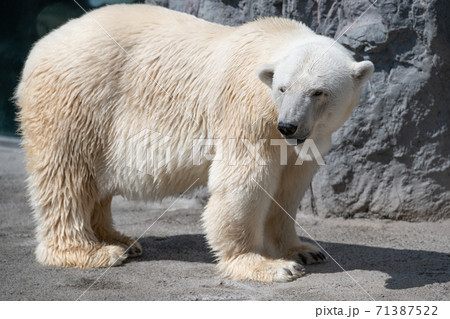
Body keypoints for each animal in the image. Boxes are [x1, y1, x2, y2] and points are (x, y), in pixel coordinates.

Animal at [15, 4, 372, 282]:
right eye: (283, 88)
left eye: (318, 92)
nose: (288, 126)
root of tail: (39, 46)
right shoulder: (246, 112)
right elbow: (245, 180)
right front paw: (265, 265)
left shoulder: (301, 141)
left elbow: (290, 186)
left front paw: (304, 251)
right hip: (78, 98)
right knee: (67, 175)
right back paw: (91, 252)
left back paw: (121, 239)